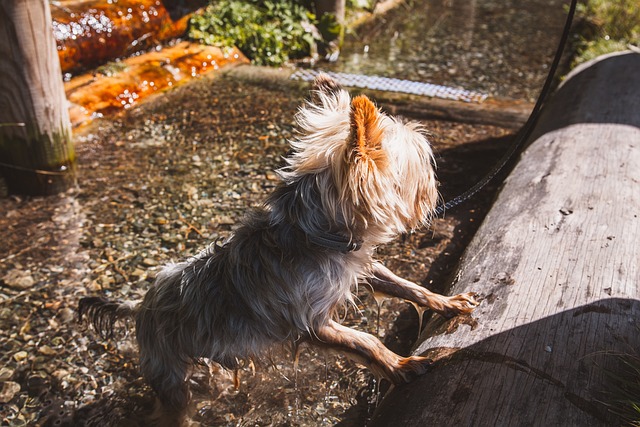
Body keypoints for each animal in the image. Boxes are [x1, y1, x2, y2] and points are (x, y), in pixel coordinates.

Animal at [77, 74, 478, 424]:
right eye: (421, 165)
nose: (435, 188)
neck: (315, 235)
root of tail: (139, 304)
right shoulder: (312, 322)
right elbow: (366, 342)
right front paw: (401, 366)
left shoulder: (360, 264)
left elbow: (406, 286)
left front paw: (447, 303)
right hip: (169, 372)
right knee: (172, 408)